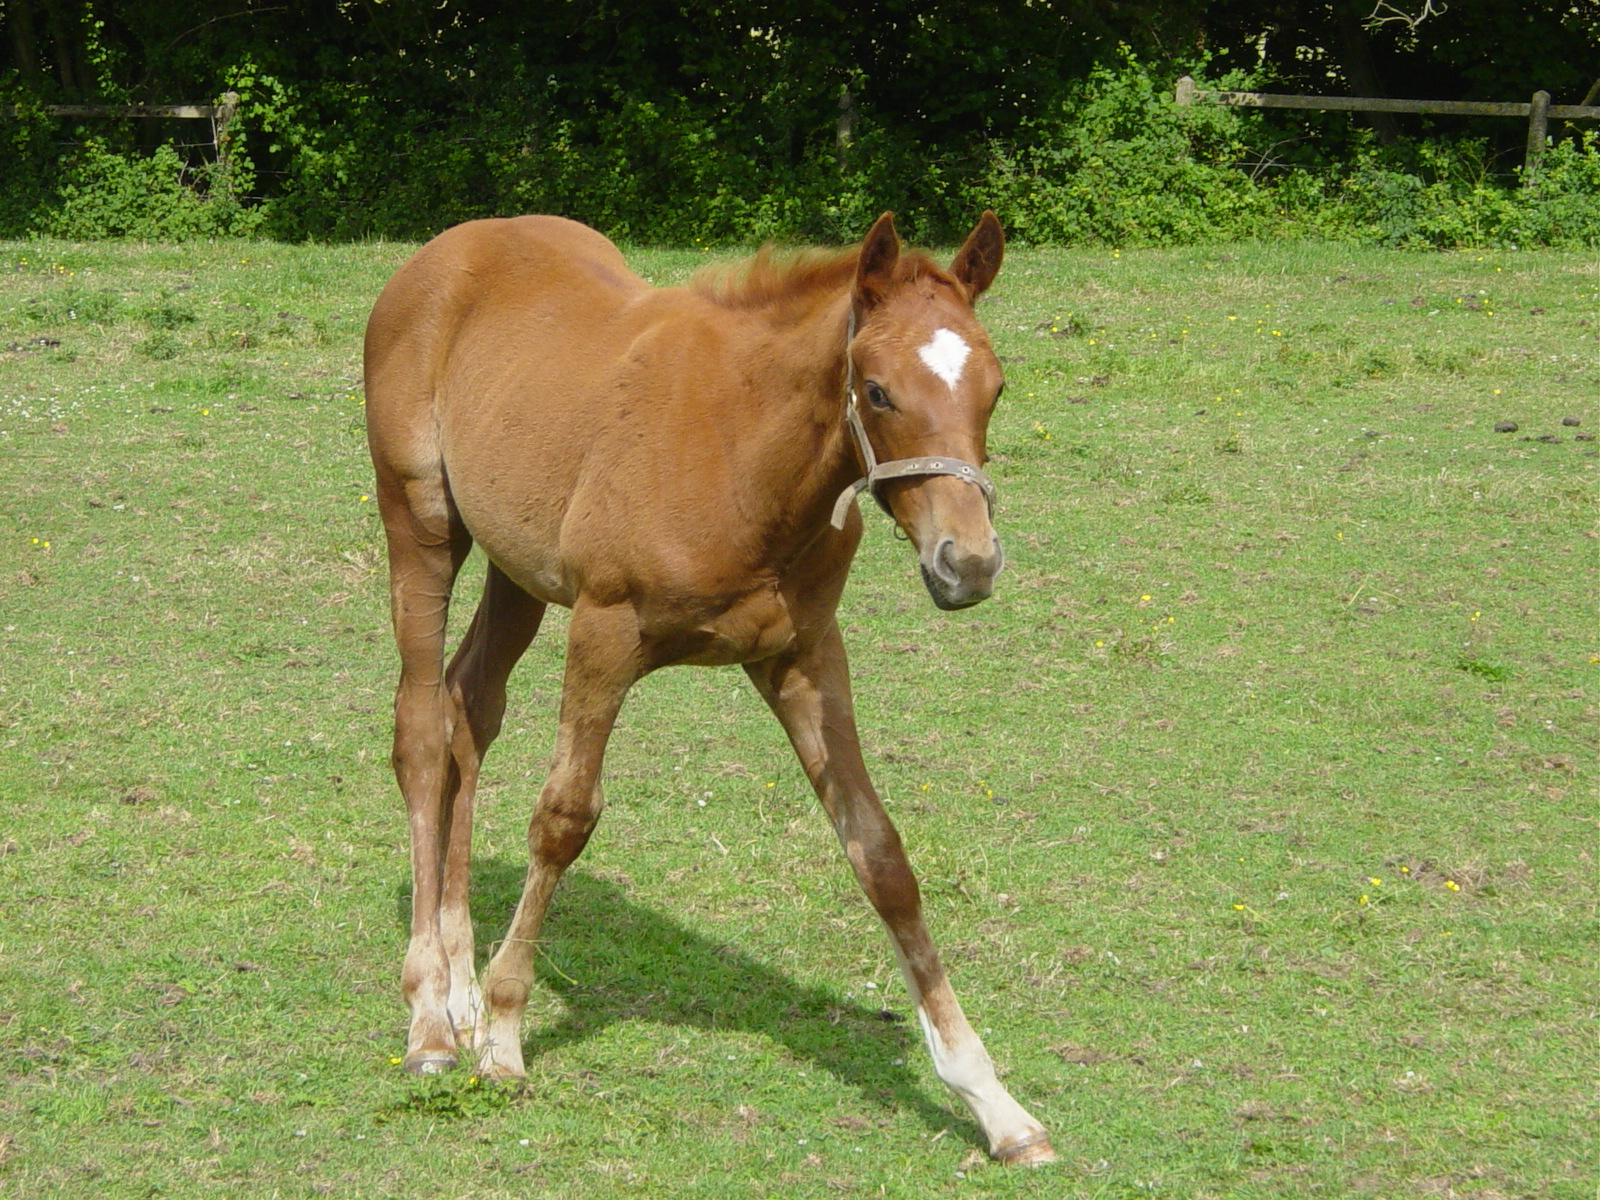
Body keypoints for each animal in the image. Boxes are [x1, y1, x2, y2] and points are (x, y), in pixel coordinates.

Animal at [368, 209, 1056, 1164]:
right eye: (879, 392)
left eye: (995, 388)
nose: (970, 564)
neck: (744, 450)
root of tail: (445, 250)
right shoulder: (604, 632)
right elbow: (563, 820)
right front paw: (506, 1036)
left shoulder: (806, 656)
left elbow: (880, 855)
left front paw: (991, 1099)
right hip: (423, 528)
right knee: (422, 736)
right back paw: (433, 1017)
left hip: (518, 566)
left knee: (470, 710)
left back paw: (460, 991)